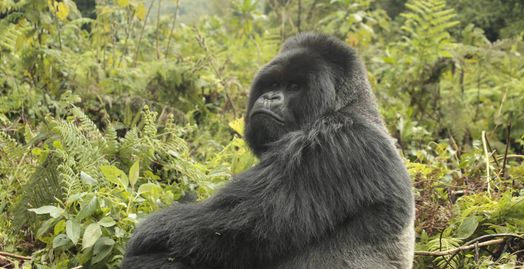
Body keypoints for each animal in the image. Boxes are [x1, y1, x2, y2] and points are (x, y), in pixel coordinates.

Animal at [121, 33, 416, 268]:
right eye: (273, 85)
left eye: (294, 86)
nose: (271, 97)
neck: (347, 105)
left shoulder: (333, 143)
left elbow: (226, 227)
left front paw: (144, 235)